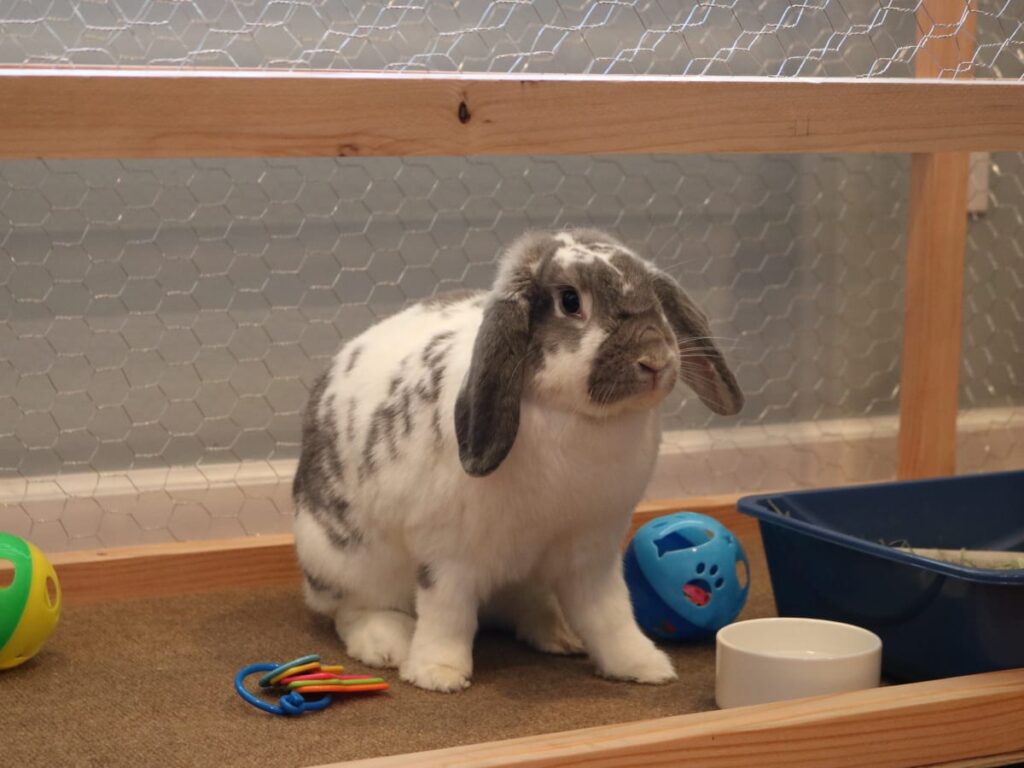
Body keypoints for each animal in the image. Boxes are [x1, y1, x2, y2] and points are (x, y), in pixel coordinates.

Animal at [292, 228, 741, 692]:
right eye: (570, 301)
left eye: (653, 294)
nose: (654, 360)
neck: (574, 417)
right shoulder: (449, 556)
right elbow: (446, 615)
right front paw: (438, 674)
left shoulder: (593, 553)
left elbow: (611, 615)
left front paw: (644, 666)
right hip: (345, 562)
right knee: (352, 610)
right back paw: (387, 644)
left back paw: (560, 633)